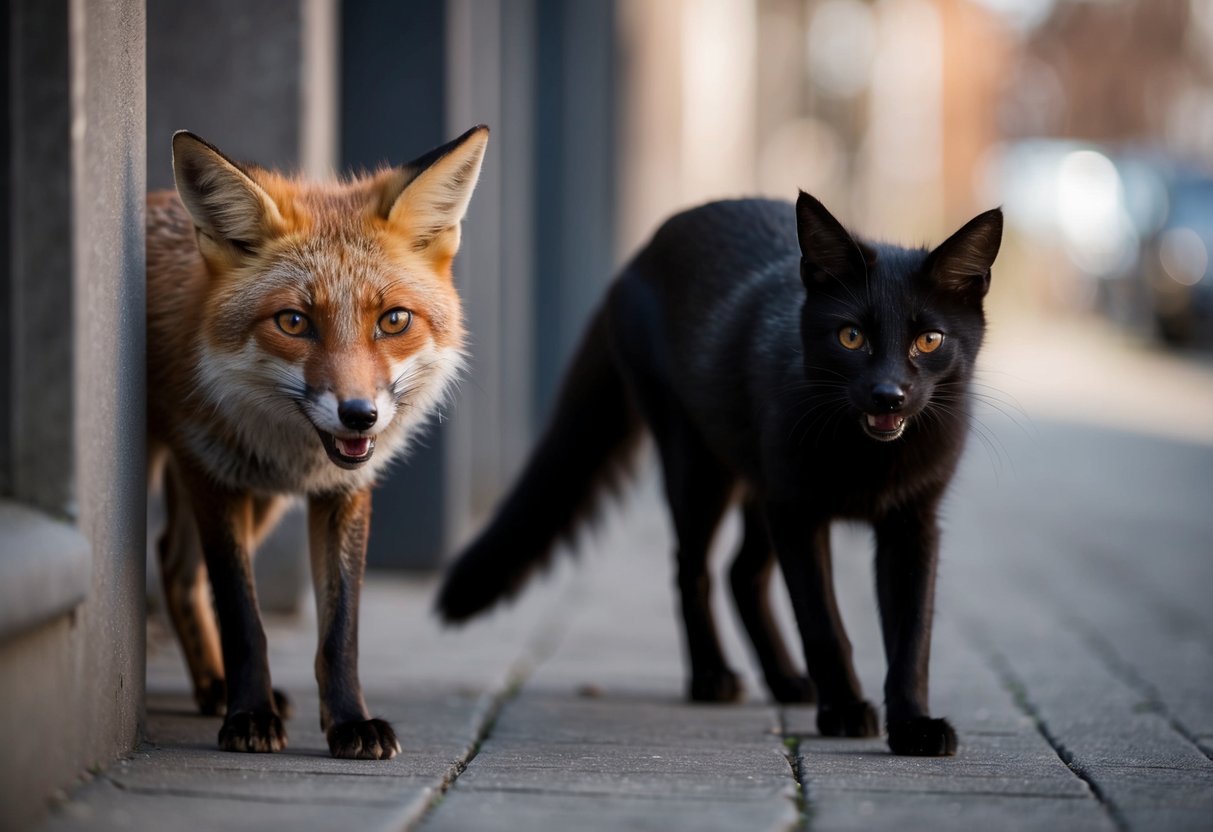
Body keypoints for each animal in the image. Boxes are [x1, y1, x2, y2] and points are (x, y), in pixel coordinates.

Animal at [147, 125, 488, 759]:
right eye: (294, 322)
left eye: (394, 320)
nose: (360, 416)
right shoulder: (213, 474)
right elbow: (243, 618)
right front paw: (249, 717)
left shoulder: (343, 492)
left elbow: (340, 629)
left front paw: (351, 722)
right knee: (180, 567)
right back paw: (222, 690)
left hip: (262, 500)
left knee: (176, 565)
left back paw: (210, 685)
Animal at [437, 192, 1001, 756]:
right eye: (850, 336)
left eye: (929, 340)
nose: (888, 394)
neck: (869, 456)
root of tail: (643, 253)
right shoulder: (797, 514)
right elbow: (822, 623)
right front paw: (843, 710)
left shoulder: (912, 524)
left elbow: (913, 637)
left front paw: (912, 726)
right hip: (697, 466)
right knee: (693, 569)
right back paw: (711, 677)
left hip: (756, 486)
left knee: (741, 573)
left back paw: (787, 680)